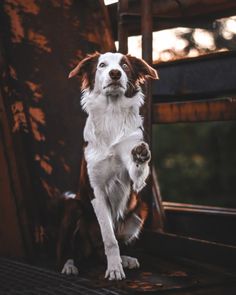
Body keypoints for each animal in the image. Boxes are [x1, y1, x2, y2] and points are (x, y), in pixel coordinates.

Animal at [58, 52, 159, 280]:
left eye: (125, 65)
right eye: (102, 65)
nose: (115, 73)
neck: (112, 113)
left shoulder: (135, 181)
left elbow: (138, 171)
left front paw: (140, 155)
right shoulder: (96, 190)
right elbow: (109, 239)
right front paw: (114, 269)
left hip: (140, 211)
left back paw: (125, 259)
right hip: (73, 206)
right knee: (72, 248)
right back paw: (70, 265)